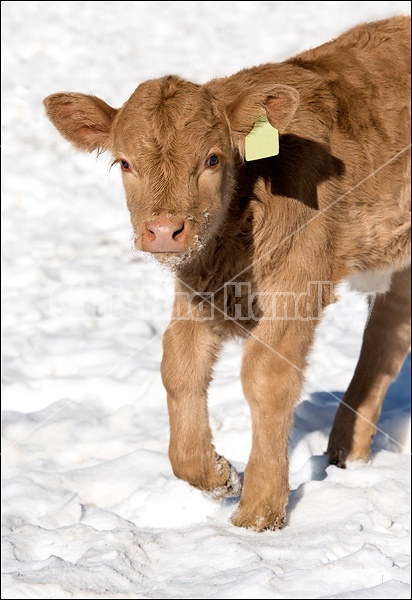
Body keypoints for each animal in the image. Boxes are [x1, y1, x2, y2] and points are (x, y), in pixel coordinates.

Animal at [43, 17, 410, 528]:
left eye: (213, 159)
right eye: (124, 162)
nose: (164, 230)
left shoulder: (300, 280)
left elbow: (266, 375)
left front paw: (259, 512)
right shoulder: (198, 286)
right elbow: (177, 363)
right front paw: (216, 474)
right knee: (387, 339)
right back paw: (346, 457)